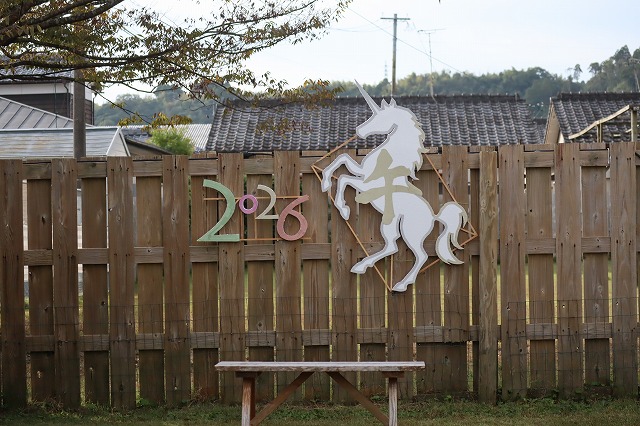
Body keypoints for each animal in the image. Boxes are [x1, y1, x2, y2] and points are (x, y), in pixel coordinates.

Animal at [321, 81, 467, 292]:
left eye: (380, 117)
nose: (358, 131)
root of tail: (434, 216)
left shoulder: (365, 185)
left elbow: (343, 178)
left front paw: (344, 210)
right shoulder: (361, 172)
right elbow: (343, 159)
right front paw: (325, 182)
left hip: (410, 231)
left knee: (420, 255)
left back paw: (400, 285)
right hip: (391, 223)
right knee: (392, 246)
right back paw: (362, 266)